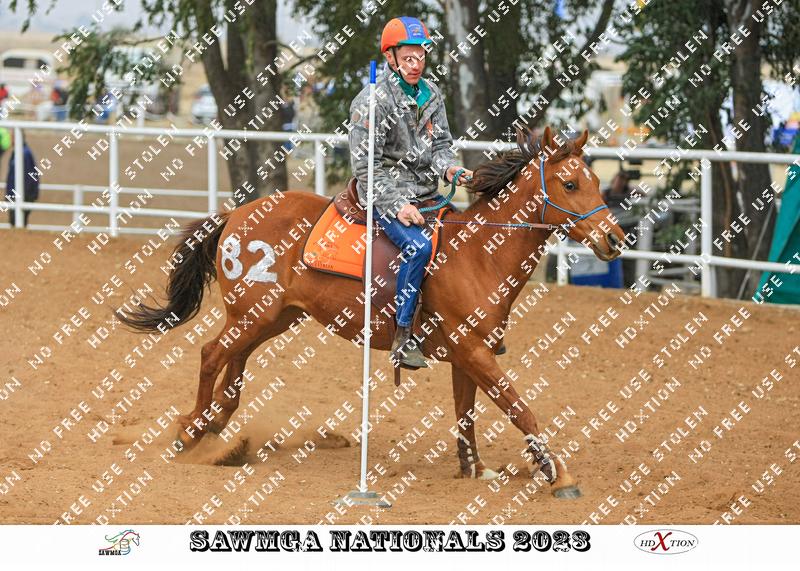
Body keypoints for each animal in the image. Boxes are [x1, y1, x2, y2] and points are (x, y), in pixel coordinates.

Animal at [119, 126, 624, 499]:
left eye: (596, 182)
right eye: (570, 183)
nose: (615, 239)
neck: (479, 253)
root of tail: (237, 214)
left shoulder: (466, 355)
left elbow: (466, 414)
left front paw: (475, 469)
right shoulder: (473, 351)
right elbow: (518, 408)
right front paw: (558, 474)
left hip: (272, 317)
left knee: (234, 361)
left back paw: (217, 427)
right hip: (254, 314)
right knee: (212, 354)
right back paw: (191, 432)